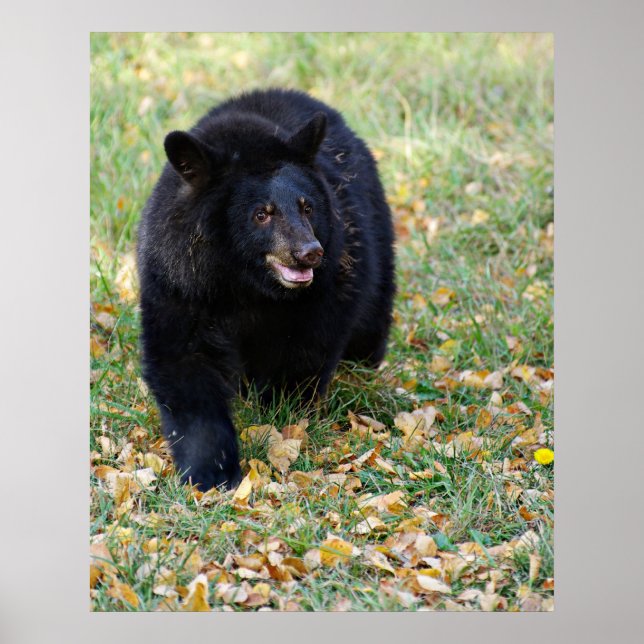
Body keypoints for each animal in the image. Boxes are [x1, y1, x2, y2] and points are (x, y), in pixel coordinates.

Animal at [137, 88, 395, 491]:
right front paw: (211, 472)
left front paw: (281, 420)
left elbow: (307, 348)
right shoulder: (178, 280)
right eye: (262, 213)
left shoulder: (323, 290)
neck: (244, 283)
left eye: (307, 207)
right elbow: (183, 362)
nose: (309, 252)